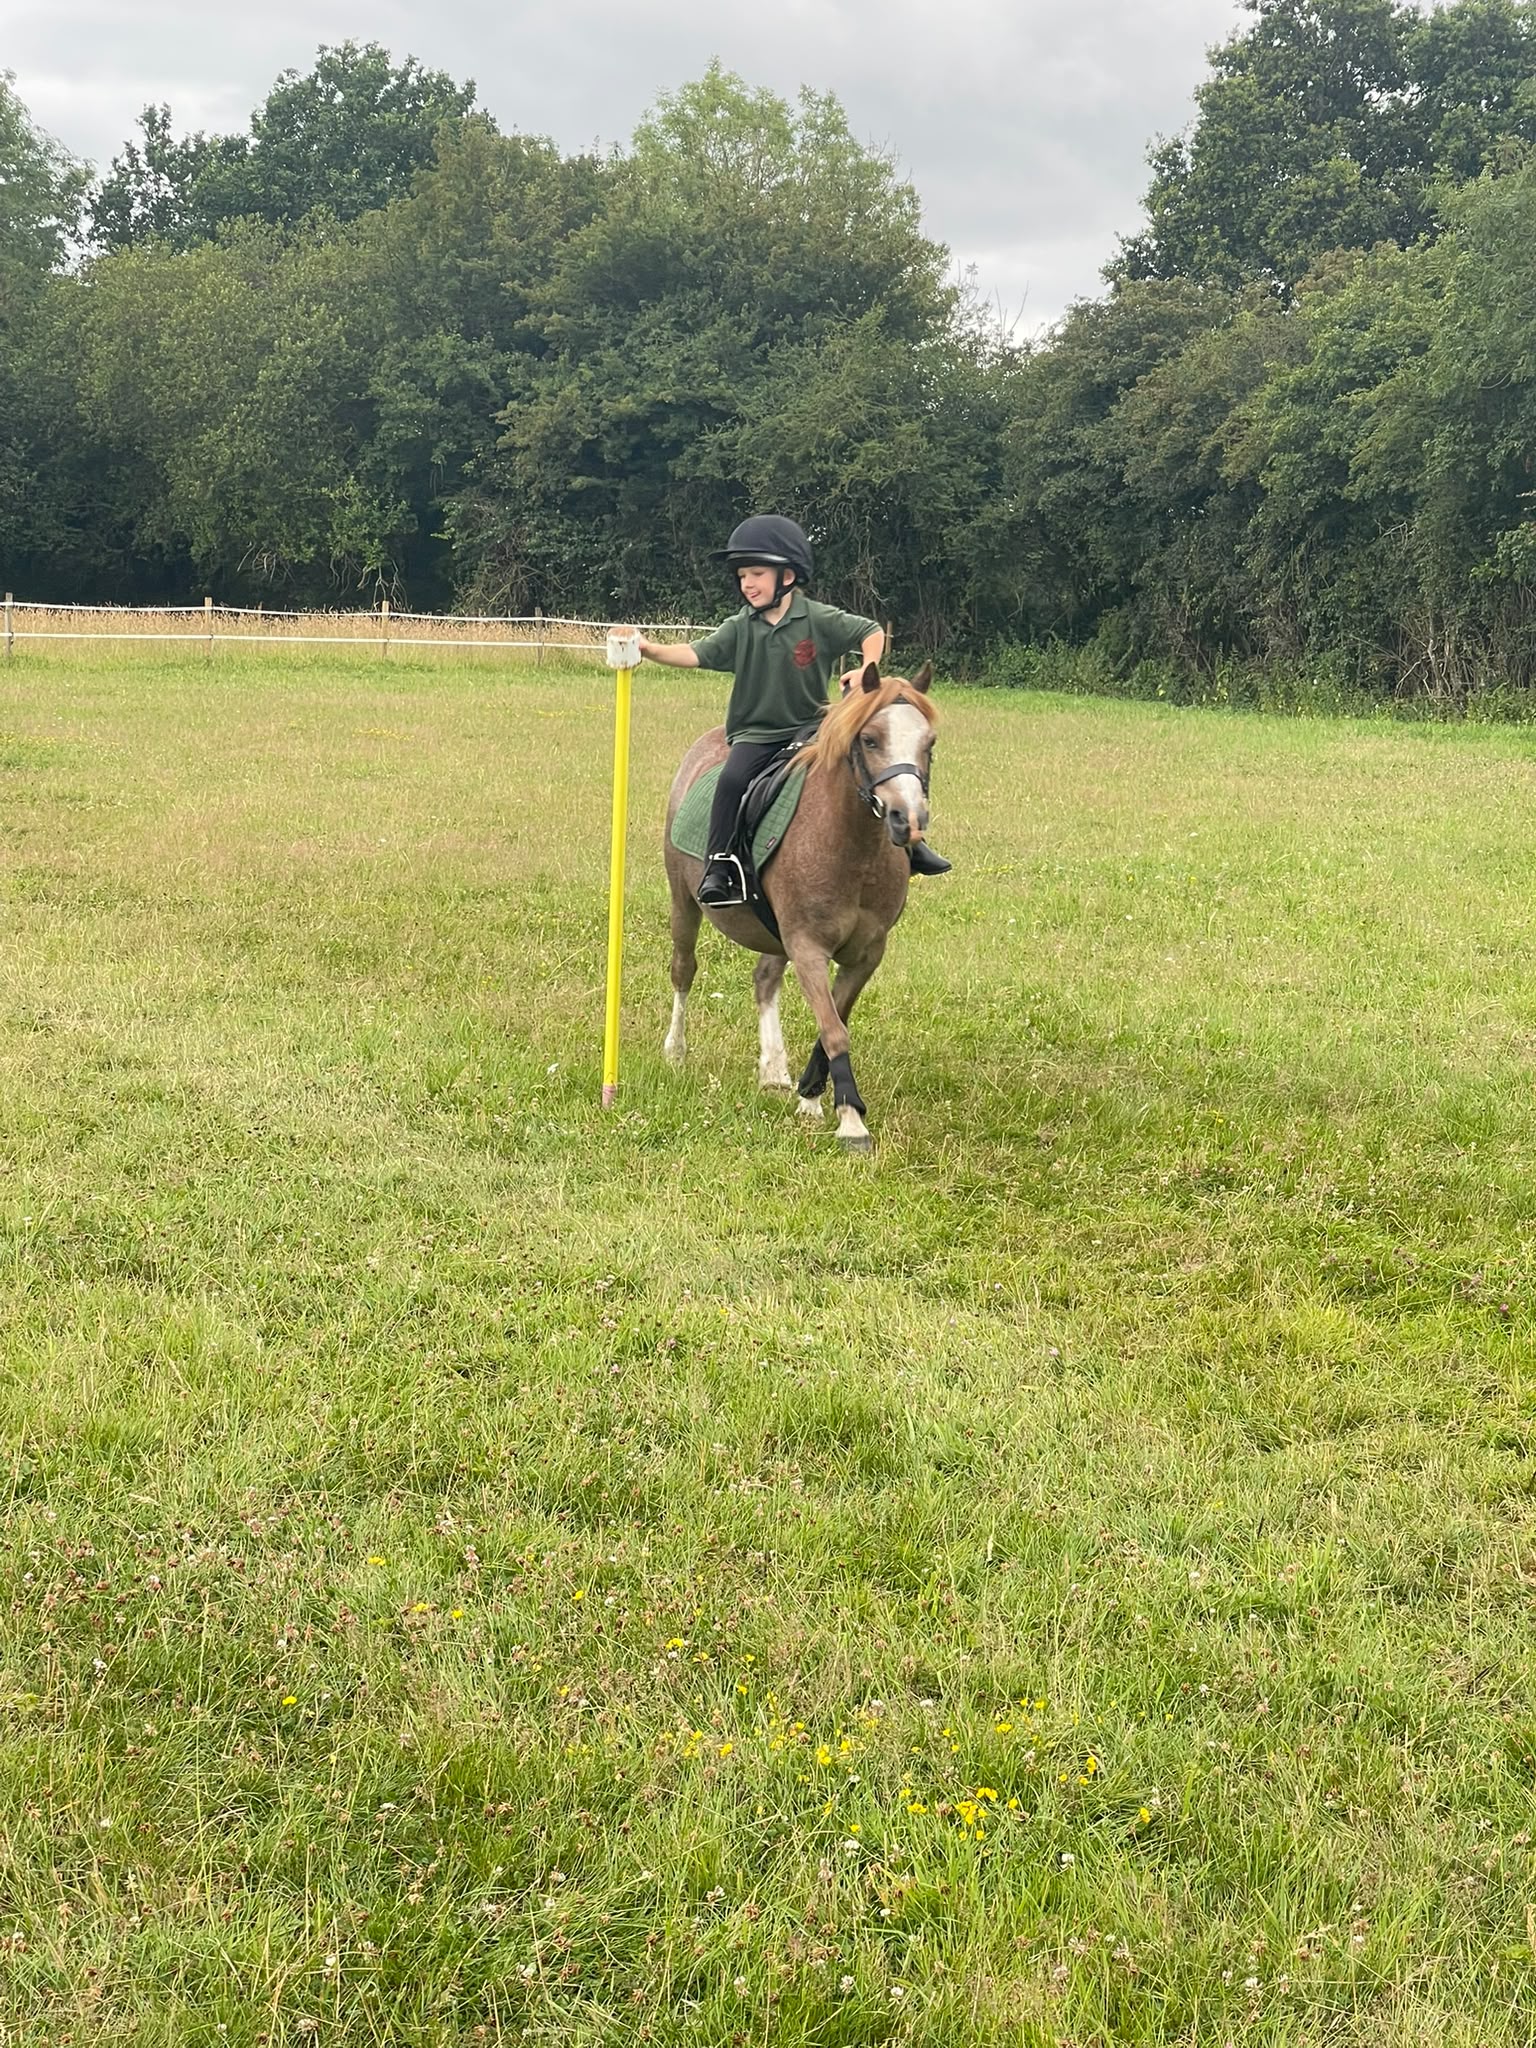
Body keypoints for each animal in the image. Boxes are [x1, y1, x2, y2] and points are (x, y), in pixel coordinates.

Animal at [662, 662, 937, 1152]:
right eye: (870, 739)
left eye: (930, 743)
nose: (908, 820)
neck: (849, 847)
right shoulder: (808, 946)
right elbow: (834, 1029)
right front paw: (851, 1121)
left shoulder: (866, 953)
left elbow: (833, 1021)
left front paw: (812, 1095)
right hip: (683, 902)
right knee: (683, 971)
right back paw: (675, 1049)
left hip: (775, 934)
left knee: (764, 980)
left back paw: (774, 1069)